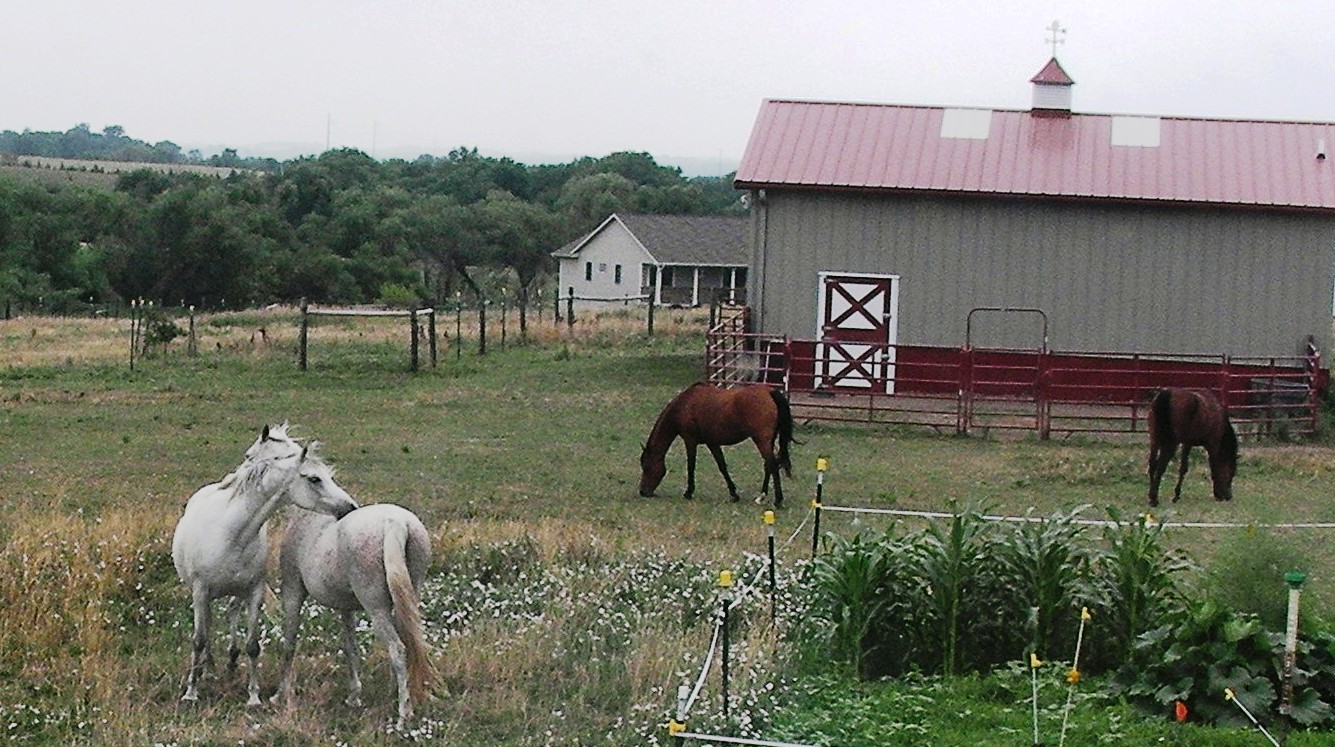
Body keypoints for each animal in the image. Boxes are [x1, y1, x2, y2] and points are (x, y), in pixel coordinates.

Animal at [171, 424, 358, 705]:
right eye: (314, 479)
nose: (350, 507)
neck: (232, 533)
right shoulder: (200, 590)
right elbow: (199, 640)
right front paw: (191, 692)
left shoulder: (254, 592)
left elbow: (252, 645)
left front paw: (253, 696)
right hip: (202, 595)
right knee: (208, 627)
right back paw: (207, 669)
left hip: (234, 593)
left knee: (229, 613)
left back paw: (227, 663)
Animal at [272, 496, 437, 729]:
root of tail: (397, 523)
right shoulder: (346, 607)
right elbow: (351, 647)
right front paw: (354, 697)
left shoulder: (292, 593)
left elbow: (289, 643)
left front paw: (279, 694)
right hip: (407, 599)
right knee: (410, 644)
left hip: (377, 610)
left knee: (397, 648)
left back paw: (402, 716)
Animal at [638, 382, 795, 507]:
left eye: (647, 467)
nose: (643, 492)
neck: (685, 405)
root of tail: (769, 392)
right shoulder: (712, 443)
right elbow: (722, 466)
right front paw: (734, 494)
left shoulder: (690, 441)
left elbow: (691, 466)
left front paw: (688, 492)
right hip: (768, 442)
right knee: (768, 465)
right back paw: (761, 496)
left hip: (761, 441)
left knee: (772, 465)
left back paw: (777, 500)